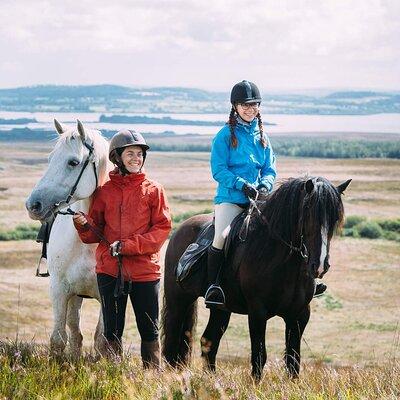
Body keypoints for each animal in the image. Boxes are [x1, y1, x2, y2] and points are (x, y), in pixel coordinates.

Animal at [25, 119, 112, 356]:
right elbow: (58, 339)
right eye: (50, 158)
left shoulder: (107, 296)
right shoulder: (59, 290)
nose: (33, 205)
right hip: (74, 294)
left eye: (73, 162)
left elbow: (101, 340)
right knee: (74, 330)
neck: (87, 241)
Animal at [162, 177, 350, 380]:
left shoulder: (299, 314)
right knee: (173, 340)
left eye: (335, 219)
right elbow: (259, 356)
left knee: (209, 341)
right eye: (309, 216)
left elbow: (293, 360)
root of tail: (180, 230)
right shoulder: (258, 312)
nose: (320, 265)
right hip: (178, 301)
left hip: (221, 308)